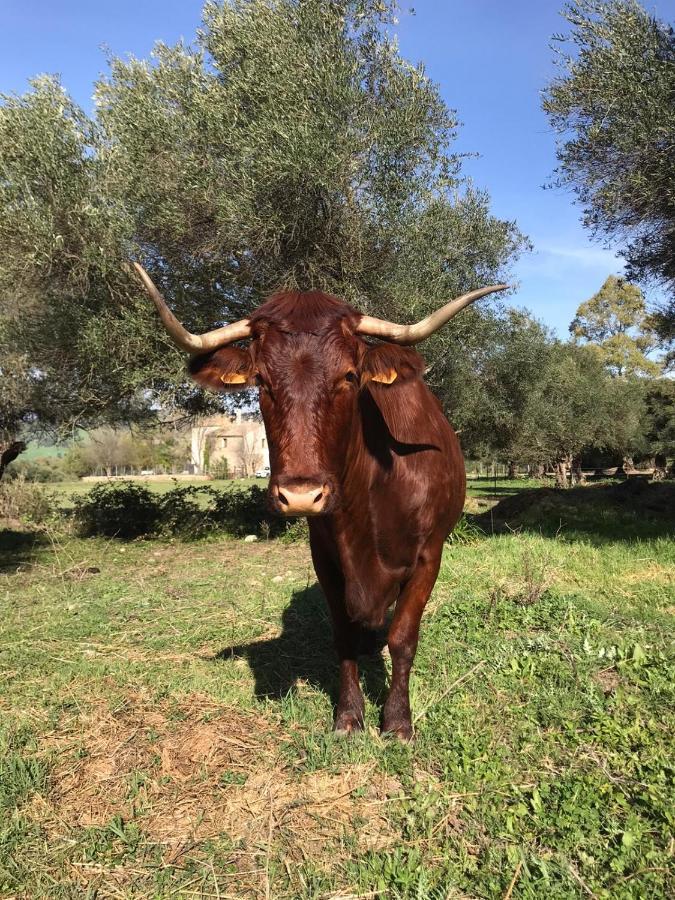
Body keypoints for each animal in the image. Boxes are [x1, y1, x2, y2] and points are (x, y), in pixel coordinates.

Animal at [135, 266, 504, 740]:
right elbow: (343, 637)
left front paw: (397, 720)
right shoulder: (325, 559)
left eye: (349, 376)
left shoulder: (429, 556)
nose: (300, 495)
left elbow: (403, 637)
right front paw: (348, 716)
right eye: (261, 380)